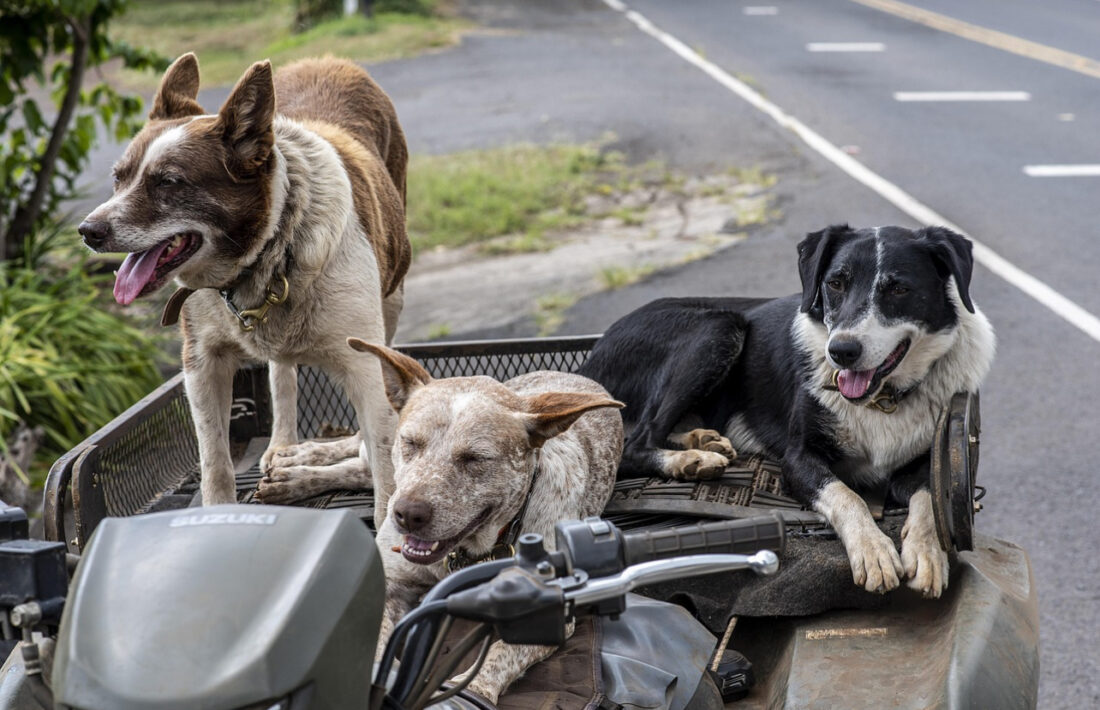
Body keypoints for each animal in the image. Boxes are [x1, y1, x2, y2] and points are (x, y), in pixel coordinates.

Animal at [77, 54, 410, 525]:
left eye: (168, 182)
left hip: (394, 296)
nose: (88, 231)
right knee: (282, 374)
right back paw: (285, 449)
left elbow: (385, 474)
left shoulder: (365, 367)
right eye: (118, 178)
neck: (268, 252)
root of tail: (328, 60)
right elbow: (215, 463)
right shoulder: (202, 363)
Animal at [348, 339, 623, 703]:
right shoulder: (392, 583)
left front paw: (473, 692)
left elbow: (496, 659)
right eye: (410, 443)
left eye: (474, 458)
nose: (407, 514)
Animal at [578, 224, 995, 597]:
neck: (883, 398)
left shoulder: (927, 460)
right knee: (634, 443)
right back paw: (691, 461)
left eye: (898, 288)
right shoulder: (797, 459)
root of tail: (589, 361)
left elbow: (929, 498)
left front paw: (927, 553)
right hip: (719, 327)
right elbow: (847, 495)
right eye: (835, 283)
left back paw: (702, 441)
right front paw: (874, 551)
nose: (840, 352)